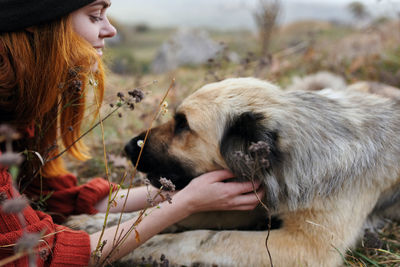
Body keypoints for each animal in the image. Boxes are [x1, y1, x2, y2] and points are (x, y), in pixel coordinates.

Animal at [122, 77, 400, 266]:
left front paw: (146, 244)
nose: (127, 147)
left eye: (183, 125)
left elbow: (207, 238)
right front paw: (123, 223)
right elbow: (188, 214)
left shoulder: (308, 247)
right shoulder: (251, 202)